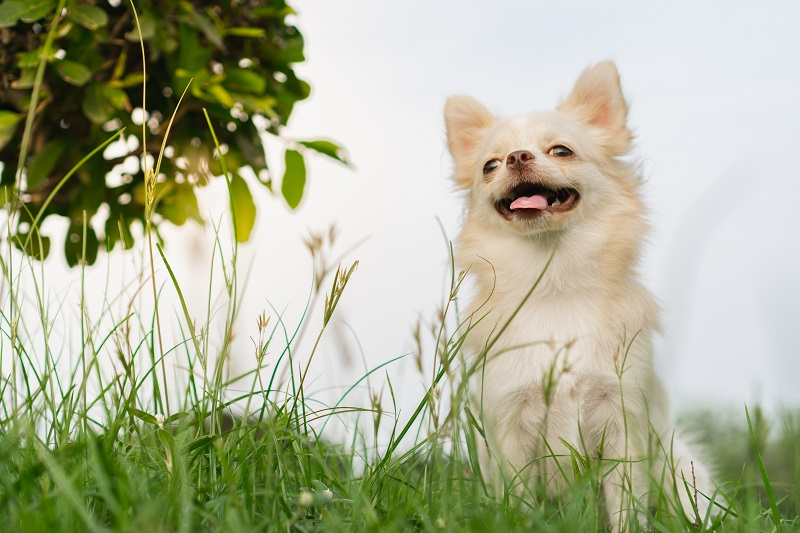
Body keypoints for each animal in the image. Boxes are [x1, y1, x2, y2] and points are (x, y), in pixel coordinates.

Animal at [446, 61, 716, 528]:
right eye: (489, 166)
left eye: (561, 151)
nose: (517, 157)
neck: (555, 282)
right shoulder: (509, 426)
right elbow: (519, 499)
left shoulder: (622, 418)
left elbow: (625, 502)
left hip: (683, 468)